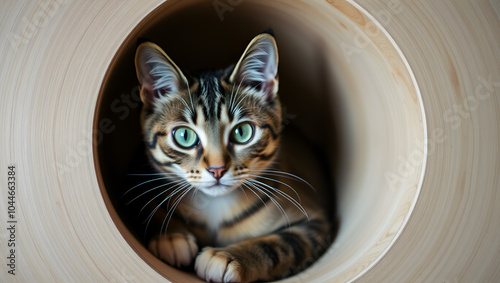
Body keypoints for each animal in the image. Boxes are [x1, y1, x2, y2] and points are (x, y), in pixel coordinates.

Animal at [133, 32, 332, 282]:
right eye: (184, 135)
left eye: (242, 132)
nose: (217, 169)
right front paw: (170, 237)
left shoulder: (314, 223)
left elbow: (277, 245)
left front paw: (227, 257)